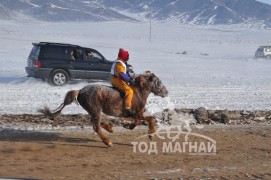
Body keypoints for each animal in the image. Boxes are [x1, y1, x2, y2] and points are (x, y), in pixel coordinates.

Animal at [39, 71, 169, 146]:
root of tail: (80, 91)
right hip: (96, 110)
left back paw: (109, 128)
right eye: (158, 82)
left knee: (94, 122)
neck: (138, 93)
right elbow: (151, 118)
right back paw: (108, 141)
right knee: (96, 126)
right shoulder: (136, 113)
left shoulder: (136, 114)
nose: (166, 92)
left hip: (93, 111)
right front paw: (151, 135)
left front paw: (128, 126)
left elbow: (137, 122)